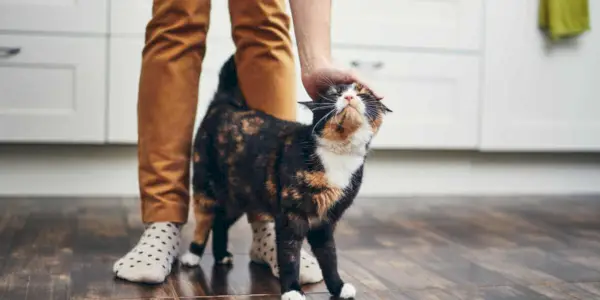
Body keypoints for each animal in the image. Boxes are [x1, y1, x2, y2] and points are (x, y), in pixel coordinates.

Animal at [183, 54, 392, 300]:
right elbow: (290, 255)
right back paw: (192, 255)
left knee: (220, 222)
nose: (349, 96)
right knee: (204, 219)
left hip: (239, 196)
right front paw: (292, 290)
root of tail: (225, 103)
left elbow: (329, 256)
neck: (338, 155)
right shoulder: (291, 216)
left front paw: (338, 287)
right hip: (205, 185)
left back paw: (221, 254)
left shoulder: (326, 221)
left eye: (363, 94)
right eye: (333, 93)